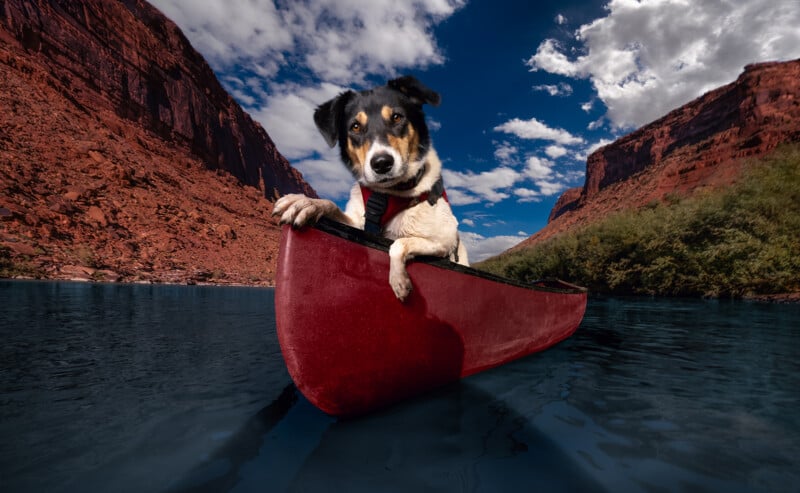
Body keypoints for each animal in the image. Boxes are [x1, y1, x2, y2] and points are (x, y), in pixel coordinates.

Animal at [274, 75, 468, 302]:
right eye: (355, 126)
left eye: (396, 117)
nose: (382, 163)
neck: (388, 193)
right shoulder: (358, 222)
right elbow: (332, 206)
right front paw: (307, 202)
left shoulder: (443, 241)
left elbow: (398, 244)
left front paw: (398, 279)